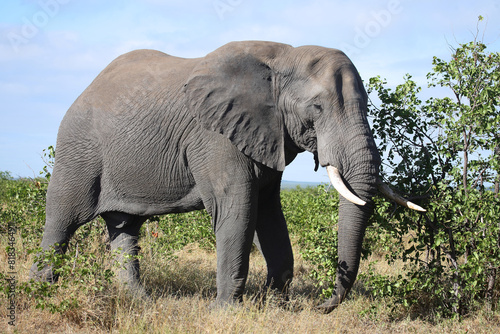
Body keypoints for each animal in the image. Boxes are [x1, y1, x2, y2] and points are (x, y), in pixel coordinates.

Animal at [29, 40, 424, 312]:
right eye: (317, 108)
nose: (321, 306)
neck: (283, 57)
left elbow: (269, 213)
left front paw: (274, 307)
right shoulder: (214, 136)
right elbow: (237, 209)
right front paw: (224, 311)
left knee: (124, 227)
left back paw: (141, 302)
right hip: (78, 149)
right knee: (63, 218)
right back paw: (41, 293)